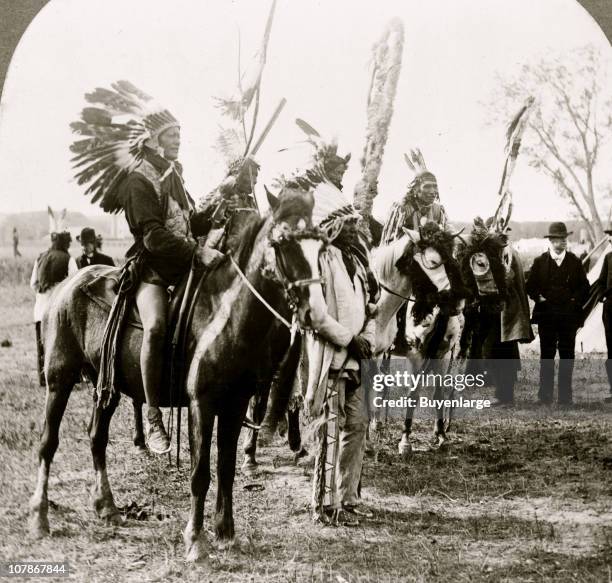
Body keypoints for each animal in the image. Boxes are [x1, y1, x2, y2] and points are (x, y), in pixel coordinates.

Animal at [27, 187, 330, 560]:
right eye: (283, 242)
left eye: (321, 246)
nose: (316, 311)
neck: (226, 316)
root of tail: (67, 285)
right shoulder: (203, 403)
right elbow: (201, 472)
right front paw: (196, 540)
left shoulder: (234, 405)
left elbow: (226, 469)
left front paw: (225, 532)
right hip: (60, 378)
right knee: (48, 443)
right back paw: (40, 517)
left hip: (107, 385)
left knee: (96, 436)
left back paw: (107, 506)